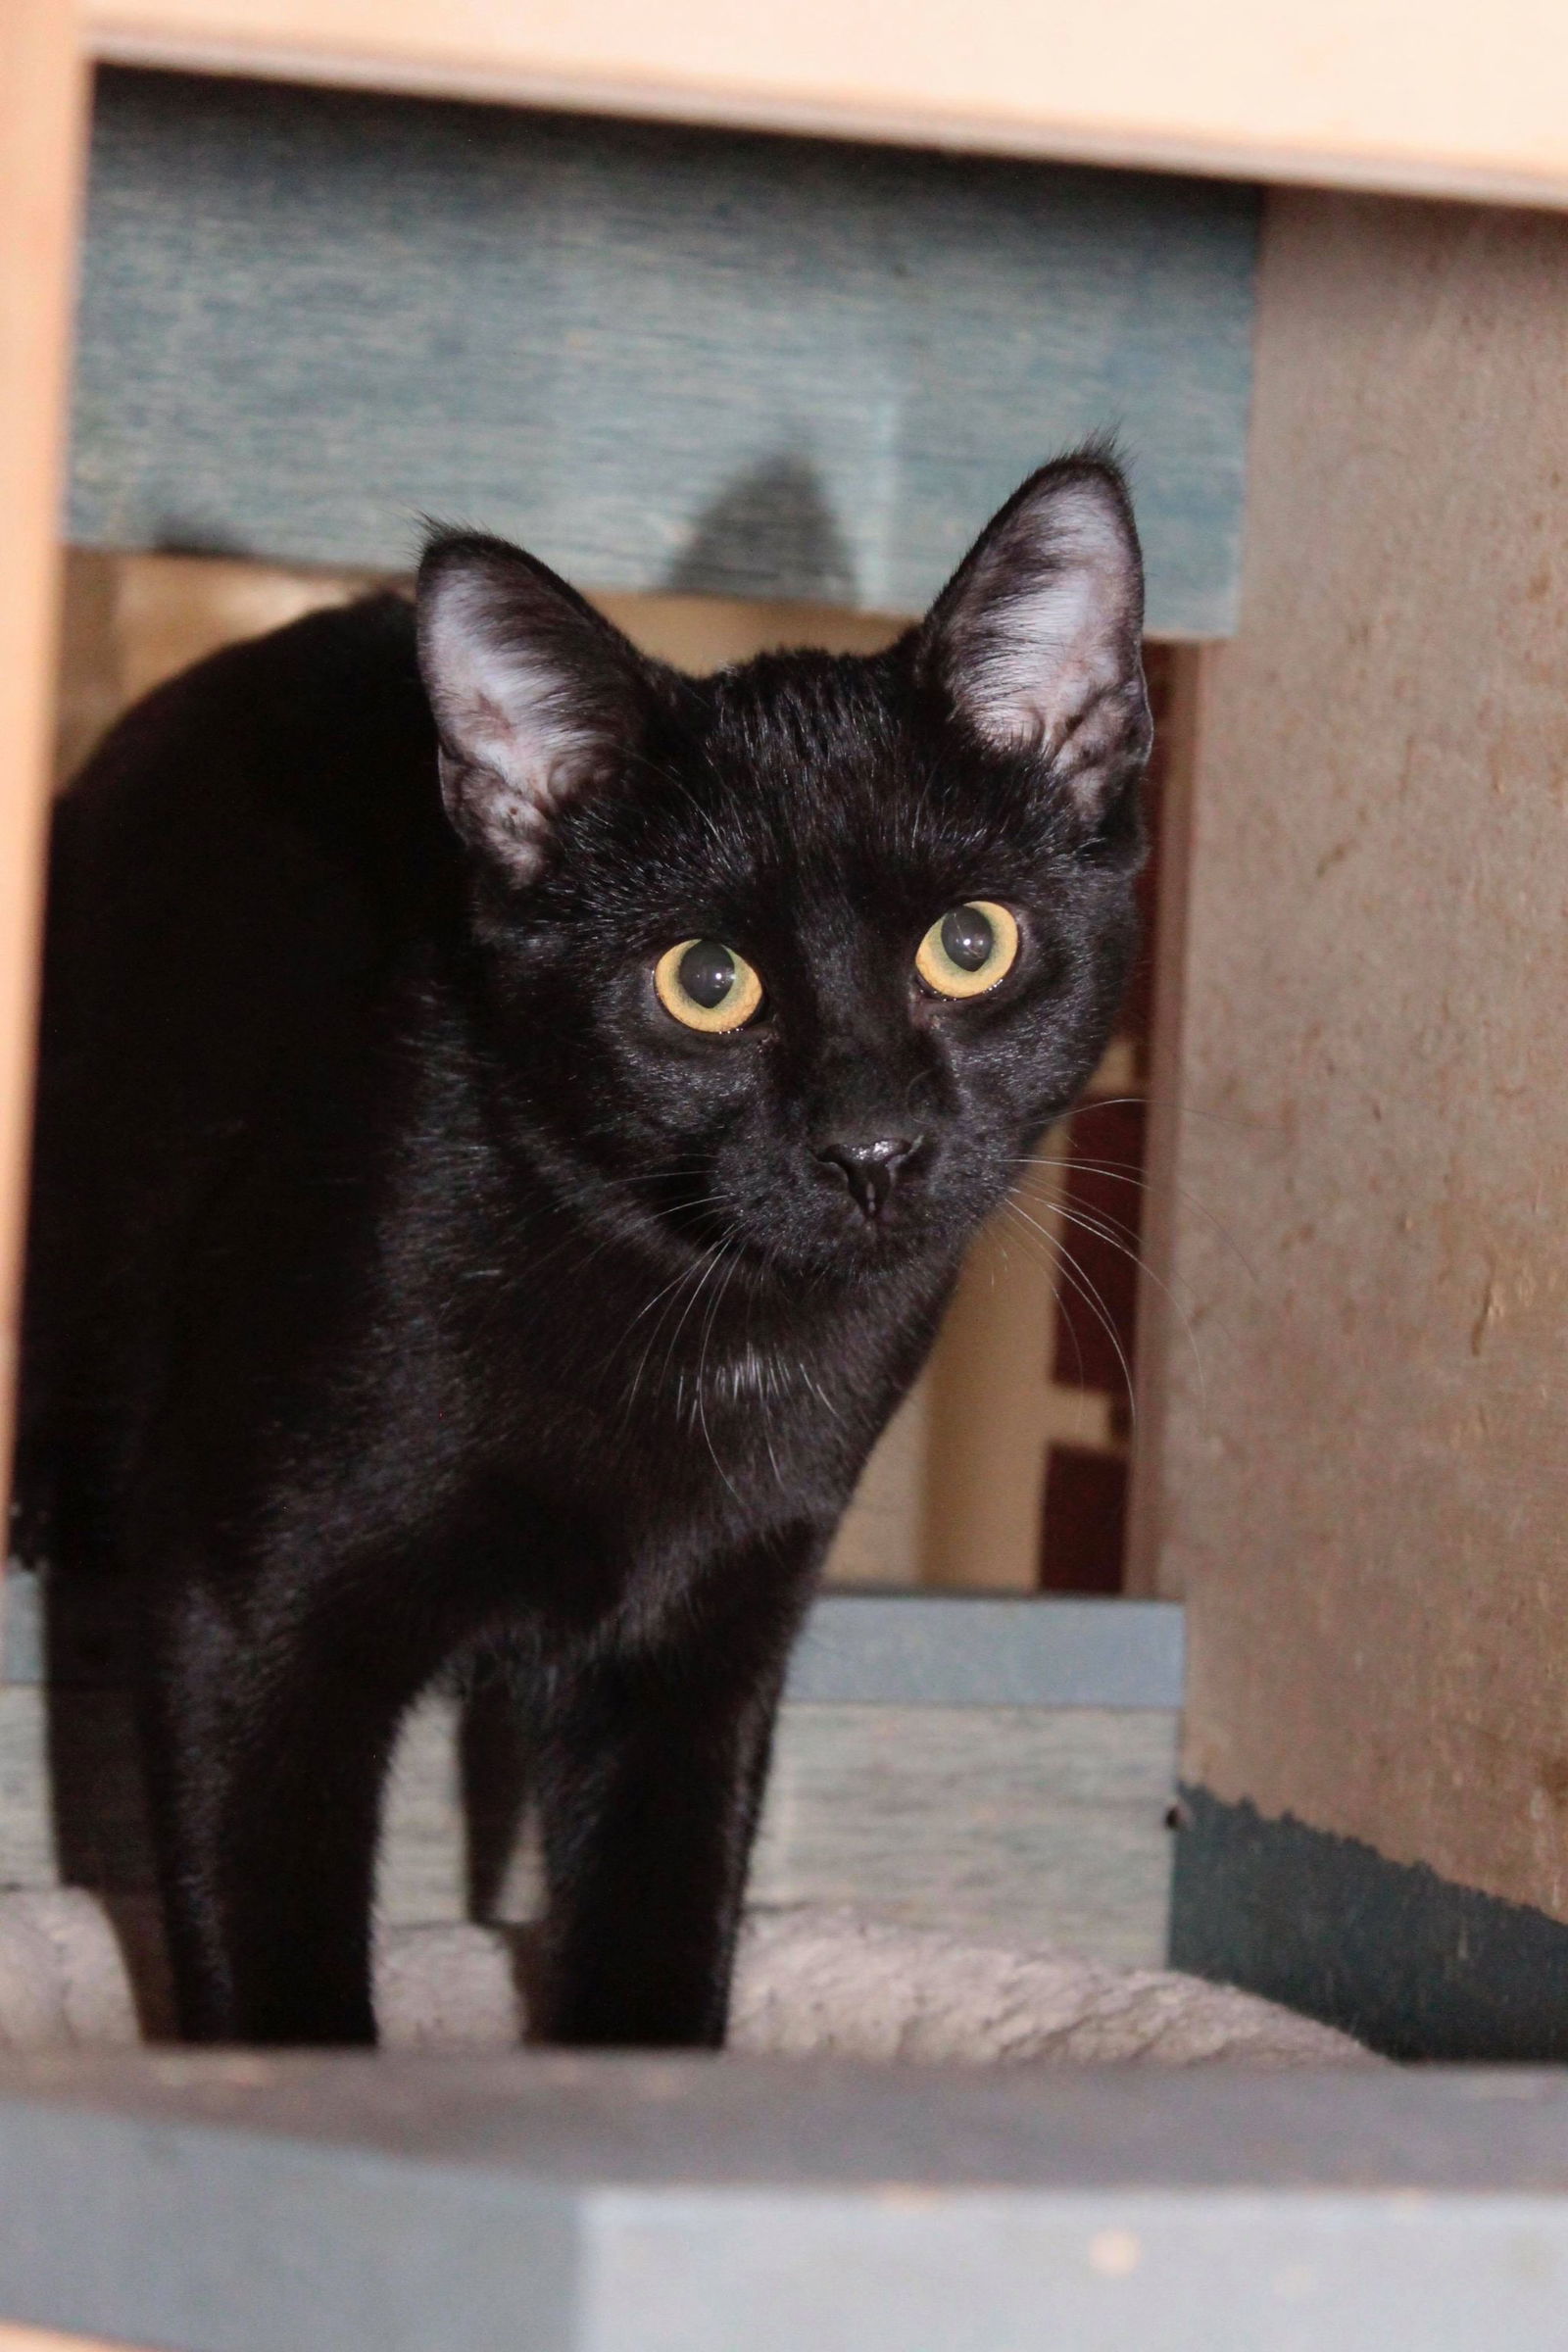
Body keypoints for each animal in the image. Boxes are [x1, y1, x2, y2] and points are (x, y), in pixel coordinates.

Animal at [12, 449, 1152, 2050]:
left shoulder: (702, 1647)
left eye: (971, 944)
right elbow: (272, 1950)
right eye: (705, 982)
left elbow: (661, 1910)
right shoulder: (241, 1613)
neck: (700, 1321)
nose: (871, 1147)